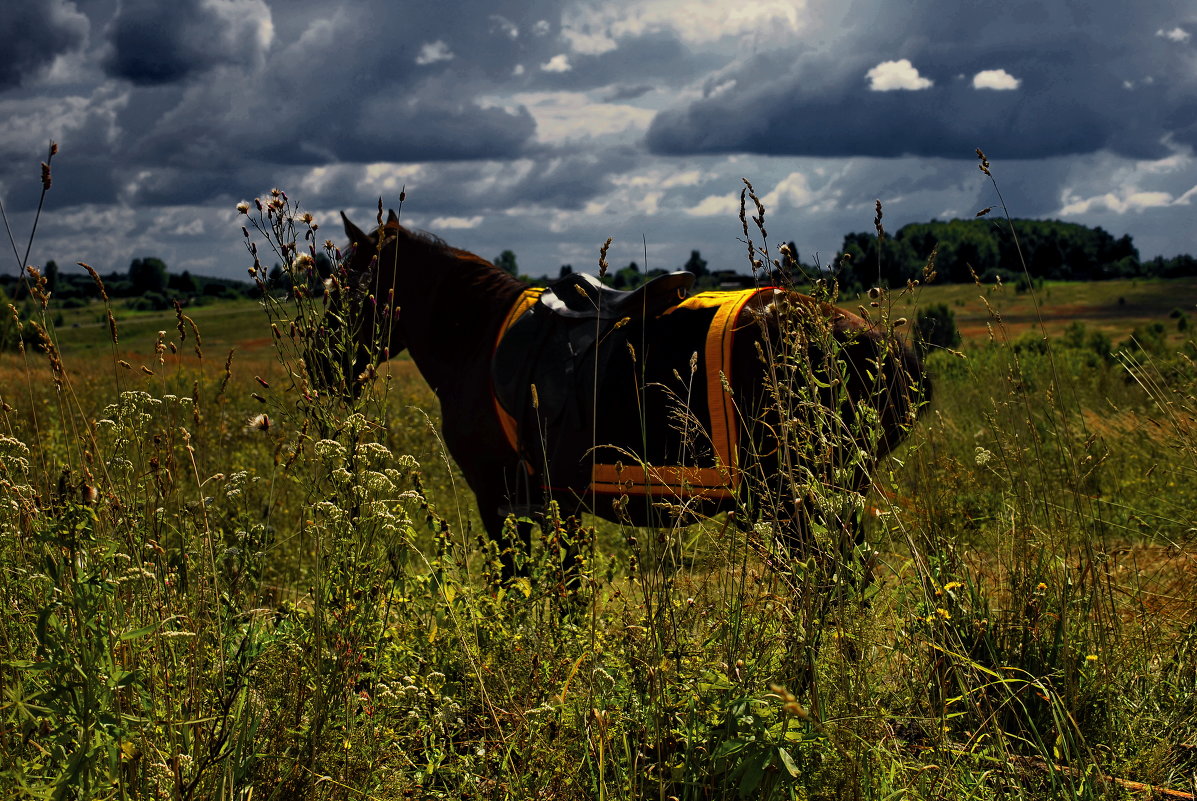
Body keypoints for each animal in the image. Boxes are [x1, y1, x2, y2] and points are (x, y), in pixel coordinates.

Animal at [323, 209, 928, 577]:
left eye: (342, 288)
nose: (322, 369)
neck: (478, 339)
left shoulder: (499, 499)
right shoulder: (553, 504)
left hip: (786, 502)